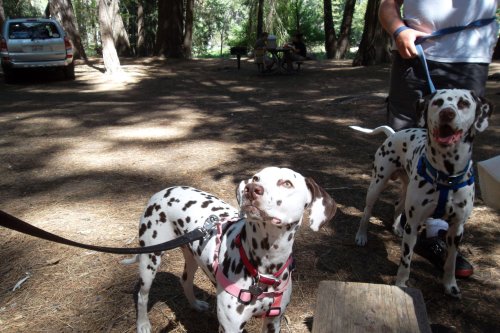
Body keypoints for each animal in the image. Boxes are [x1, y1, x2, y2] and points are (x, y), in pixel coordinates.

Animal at [123, 166, 338, 332]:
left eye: (287, 183)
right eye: (256, 178)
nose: (251, 189)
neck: (265, 267)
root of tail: (161, 191)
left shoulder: (273, 321)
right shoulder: (231, 327)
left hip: (192, 256)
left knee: (185, 280)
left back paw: (196, 304)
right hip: (150, 259)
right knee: (142, 295)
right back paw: (143, 324)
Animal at [352, 89, 492, 296]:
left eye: (464, 103)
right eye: (438, 102)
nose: (447, 113)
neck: (446, 175)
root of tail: (394, 133)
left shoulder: (456, 229)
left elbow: (450, 262)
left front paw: (450, 285)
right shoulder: (414, 224)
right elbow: (405, 260)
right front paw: (401, 285)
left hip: (406, 190)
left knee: (398, 205)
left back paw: (396, 227)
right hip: (377, 184)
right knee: (367, 211)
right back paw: (361, 236)